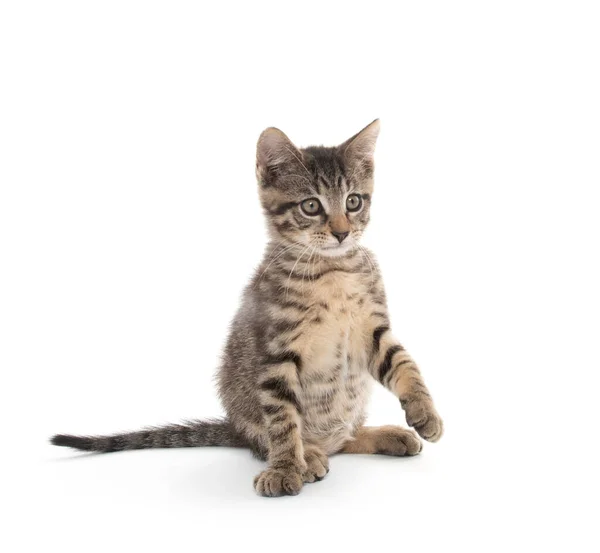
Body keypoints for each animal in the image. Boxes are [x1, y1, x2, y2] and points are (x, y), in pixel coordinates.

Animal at [51, 121, 442, 496]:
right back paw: (309, 455)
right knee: (274, 438)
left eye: (354, 201)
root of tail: (235, 427)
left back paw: (386, 435)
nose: (342, 233)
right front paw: (285, 468)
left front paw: (425, 411)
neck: (332, 270)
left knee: (345, 438)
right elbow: (283, 419)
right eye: (311, 206)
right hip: (245, 408)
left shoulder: (371, 328)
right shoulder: (275, 349)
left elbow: (404, 363)